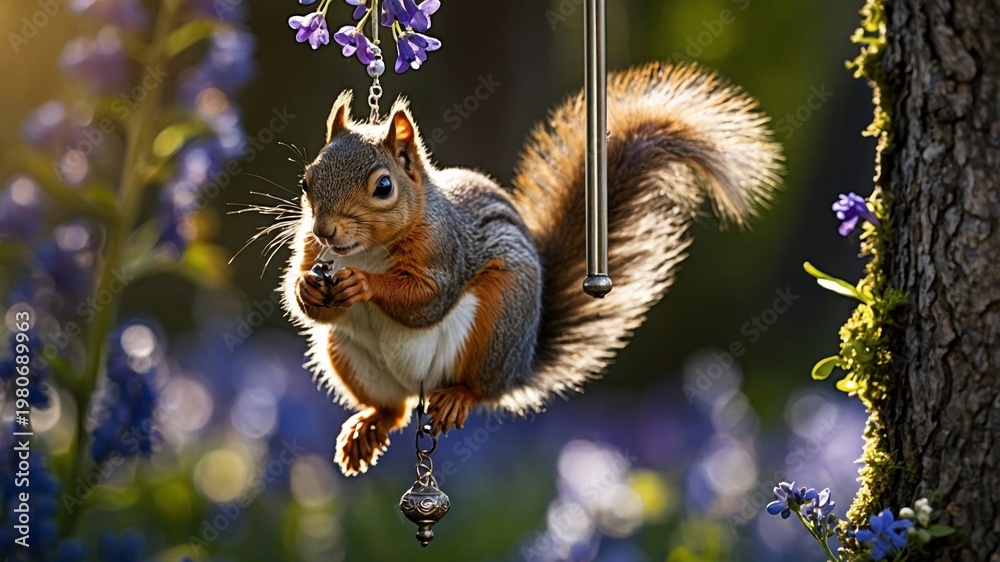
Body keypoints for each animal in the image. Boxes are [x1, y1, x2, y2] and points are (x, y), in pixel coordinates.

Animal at [280, 62, 782, 476]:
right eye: (306, 180)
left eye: (384, 187)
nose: (326, 228)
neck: (364, 249)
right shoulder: (311, 249)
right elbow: (305, 299)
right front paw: (308, 289)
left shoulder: (445, 251)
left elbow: (425, 300)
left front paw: (364, 283)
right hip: (346, 356)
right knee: (394, 411)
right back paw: (366, 430)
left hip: (498, 322)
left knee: (480, 388)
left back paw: (458, 398)